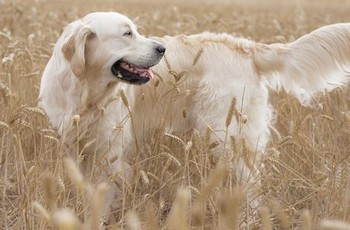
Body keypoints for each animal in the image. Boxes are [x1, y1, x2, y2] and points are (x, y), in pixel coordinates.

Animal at [39, 12, 350, 221]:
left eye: (135, 31)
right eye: (127, 34)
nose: (161, 48)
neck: (85, 92)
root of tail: (246, 47)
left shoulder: (110, 154)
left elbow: (101, 196)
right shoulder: (75, 147)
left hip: (226, 136)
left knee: (251, 185)